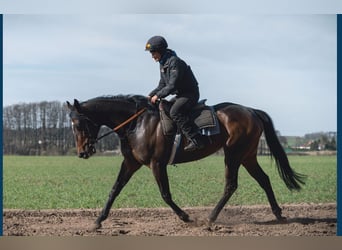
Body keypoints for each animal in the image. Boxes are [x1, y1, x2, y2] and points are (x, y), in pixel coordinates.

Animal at [65, 94, 306, 229]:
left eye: (79, 125)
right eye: (72, 126)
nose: (82, 152)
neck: (136, 124)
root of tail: (251, 111)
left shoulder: (157, 164)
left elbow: (165, 194)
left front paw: (186, 217)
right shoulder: (131, 163)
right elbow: (114, 190)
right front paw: (98, 220)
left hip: (234, 154)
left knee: (231, 185)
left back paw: (210, 218)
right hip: (247, 156)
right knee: (264, 179)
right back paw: (278, 214)